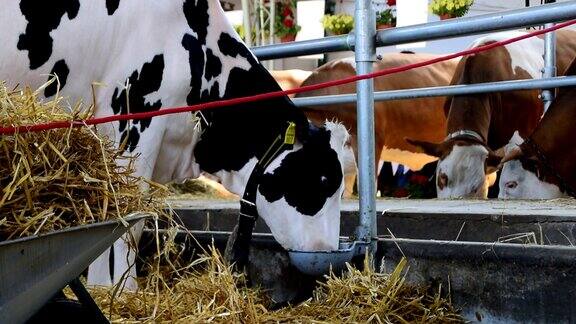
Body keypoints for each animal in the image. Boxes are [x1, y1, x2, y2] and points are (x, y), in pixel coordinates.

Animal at [1, 0, 356, 288]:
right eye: (321, 180)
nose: (327, 256)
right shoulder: (135, 113)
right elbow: (130, 217)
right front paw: (121, 292)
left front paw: (102, 287)